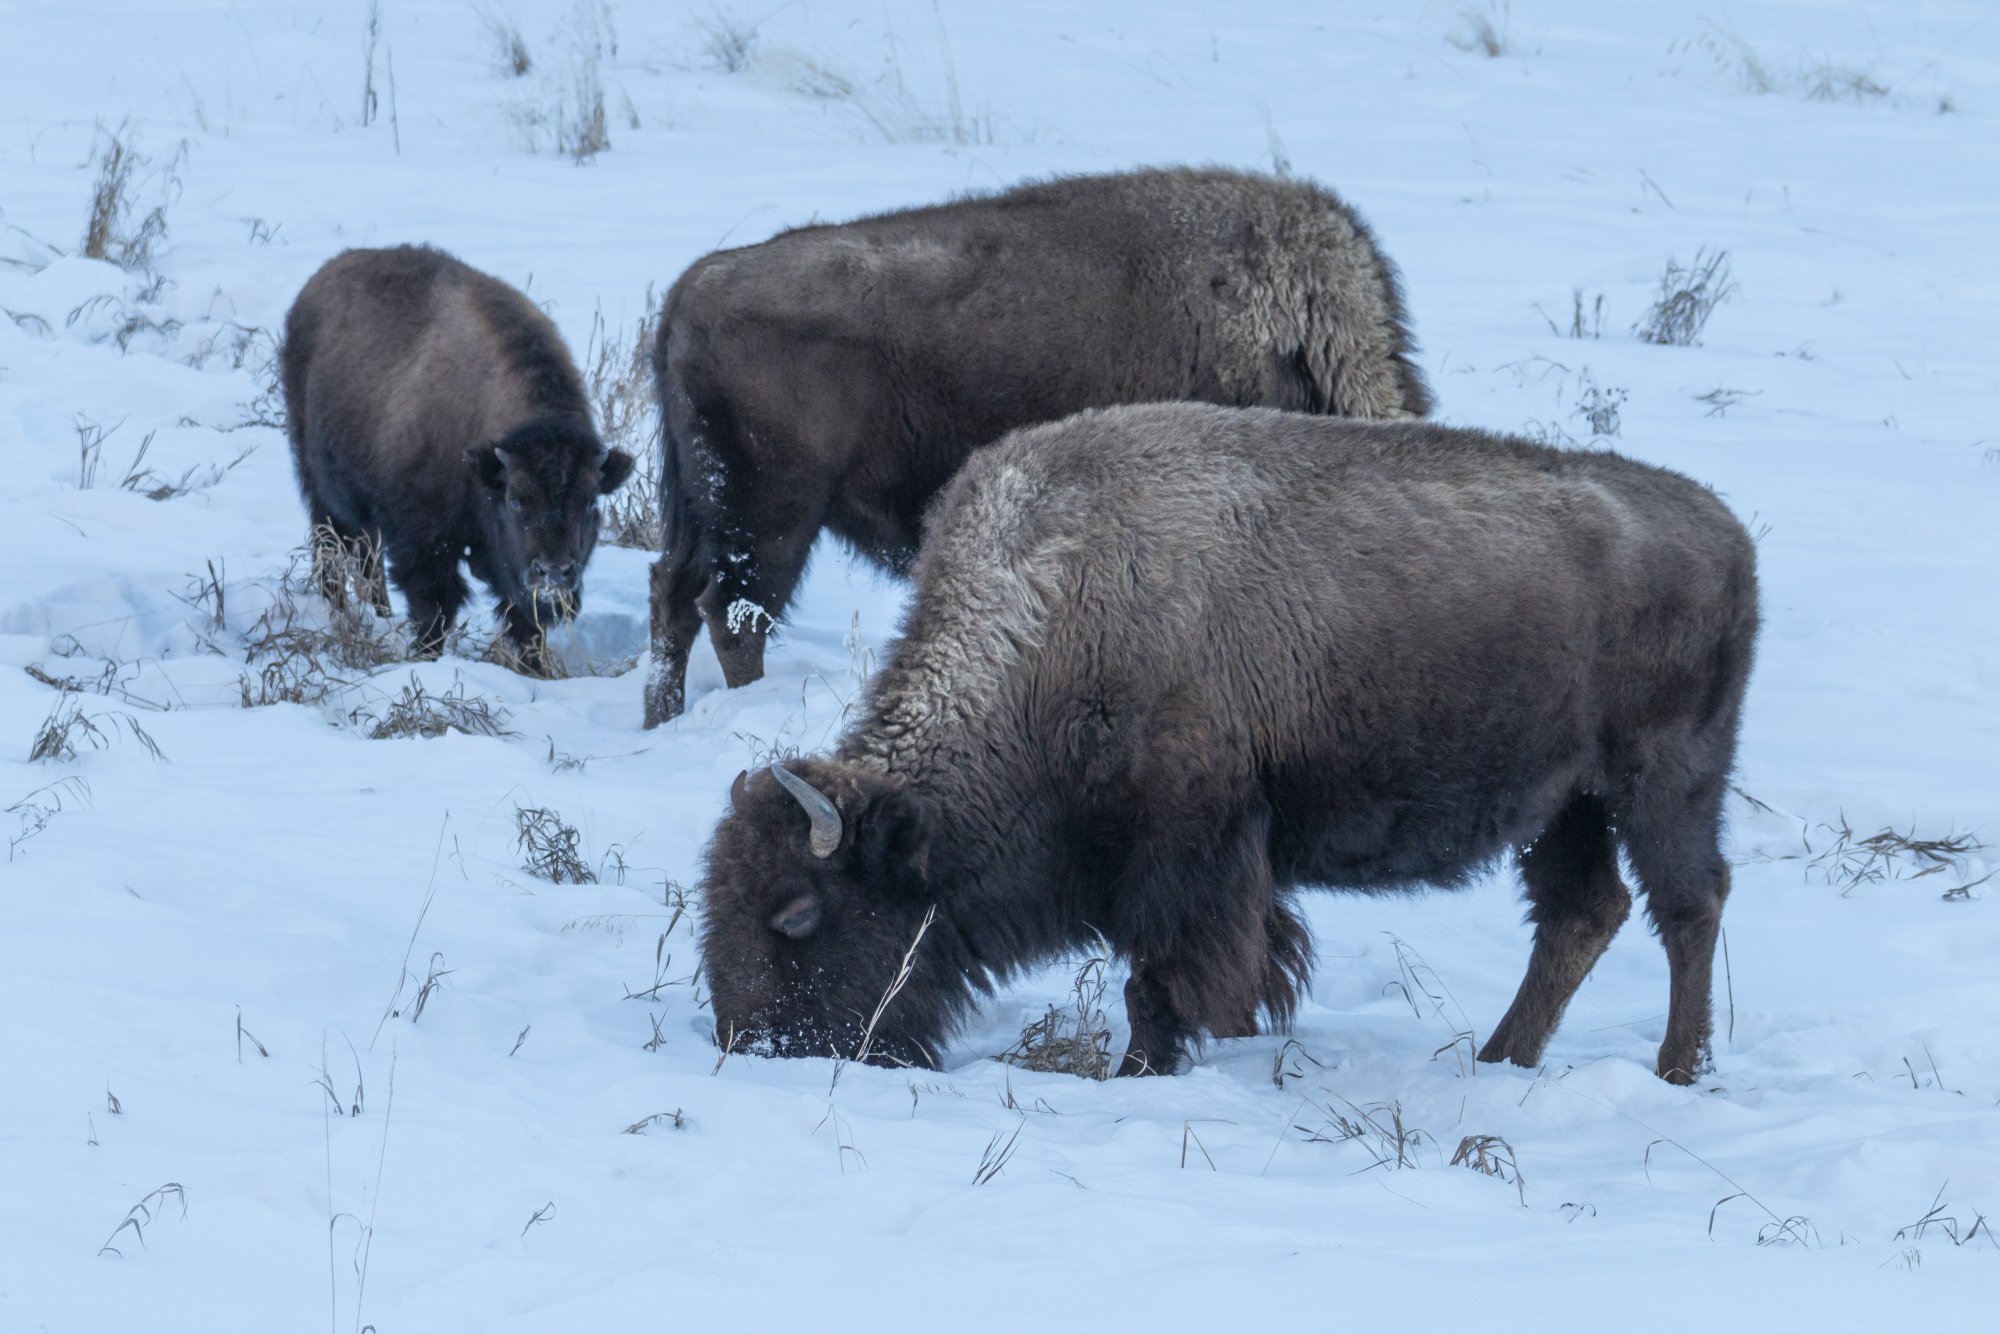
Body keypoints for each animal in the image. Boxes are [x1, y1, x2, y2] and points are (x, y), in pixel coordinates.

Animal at [282, 245, 632, 668]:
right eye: (516, 500)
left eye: (590, 502)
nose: (555, 573)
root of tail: (318, 282)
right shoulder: (424, 546)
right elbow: (435, 610)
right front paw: (426, 658)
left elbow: (526, 623)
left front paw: (535, 667)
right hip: (321, 490)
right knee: (332, 552)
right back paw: (343, 615)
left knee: (368, 559)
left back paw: (379, 613)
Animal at [696, 404, 1760, 1088]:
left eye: (798, 915)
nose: (756, 1050)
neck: (1050, 620)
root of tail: (1727, 532)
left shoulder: (1186, 855)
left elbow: (1159, 983)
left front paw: (1137, 1074)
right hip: (1565, 803)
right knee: (1584, 912)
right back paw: (1505, 1060)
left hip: (1662, 779)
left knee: (1687, 905)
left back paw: (1677, 1071)